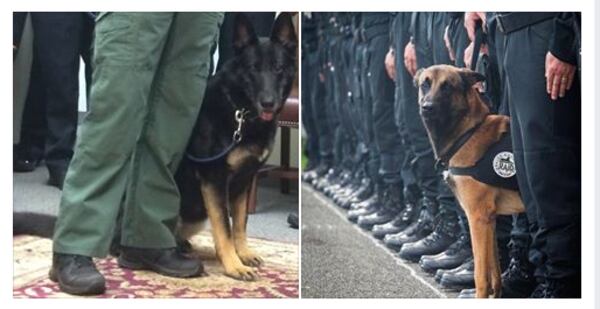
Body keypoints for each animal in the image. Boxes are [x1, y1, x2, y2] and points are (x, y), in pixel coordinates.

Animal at [414, 64, 524, 296]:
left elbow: (481, 277)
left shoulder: (477, 217)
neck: (468, 133)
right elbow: (495, 277)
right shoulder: (489, 220)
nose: (427, 107)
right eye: (425, 84)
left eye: (447, 86)